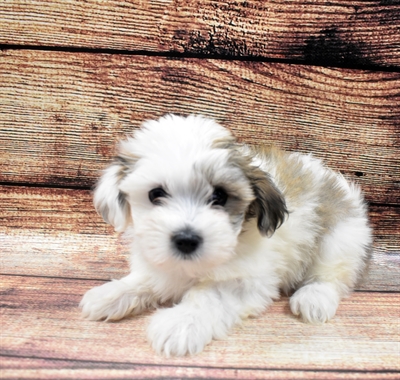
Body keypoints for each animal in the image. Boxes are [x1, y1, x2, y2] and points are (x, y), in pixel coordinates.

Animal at [79, 114, 374, 358]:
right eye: (155, 194)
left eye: (219, 196)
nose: (186, 240)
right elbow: (147, 279)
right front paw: (113, 293)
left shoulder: (248, 281)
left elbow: (211, 296)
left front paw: (181, 322)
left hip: (340, 238)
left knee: (331, 274)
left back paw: (314, 296)